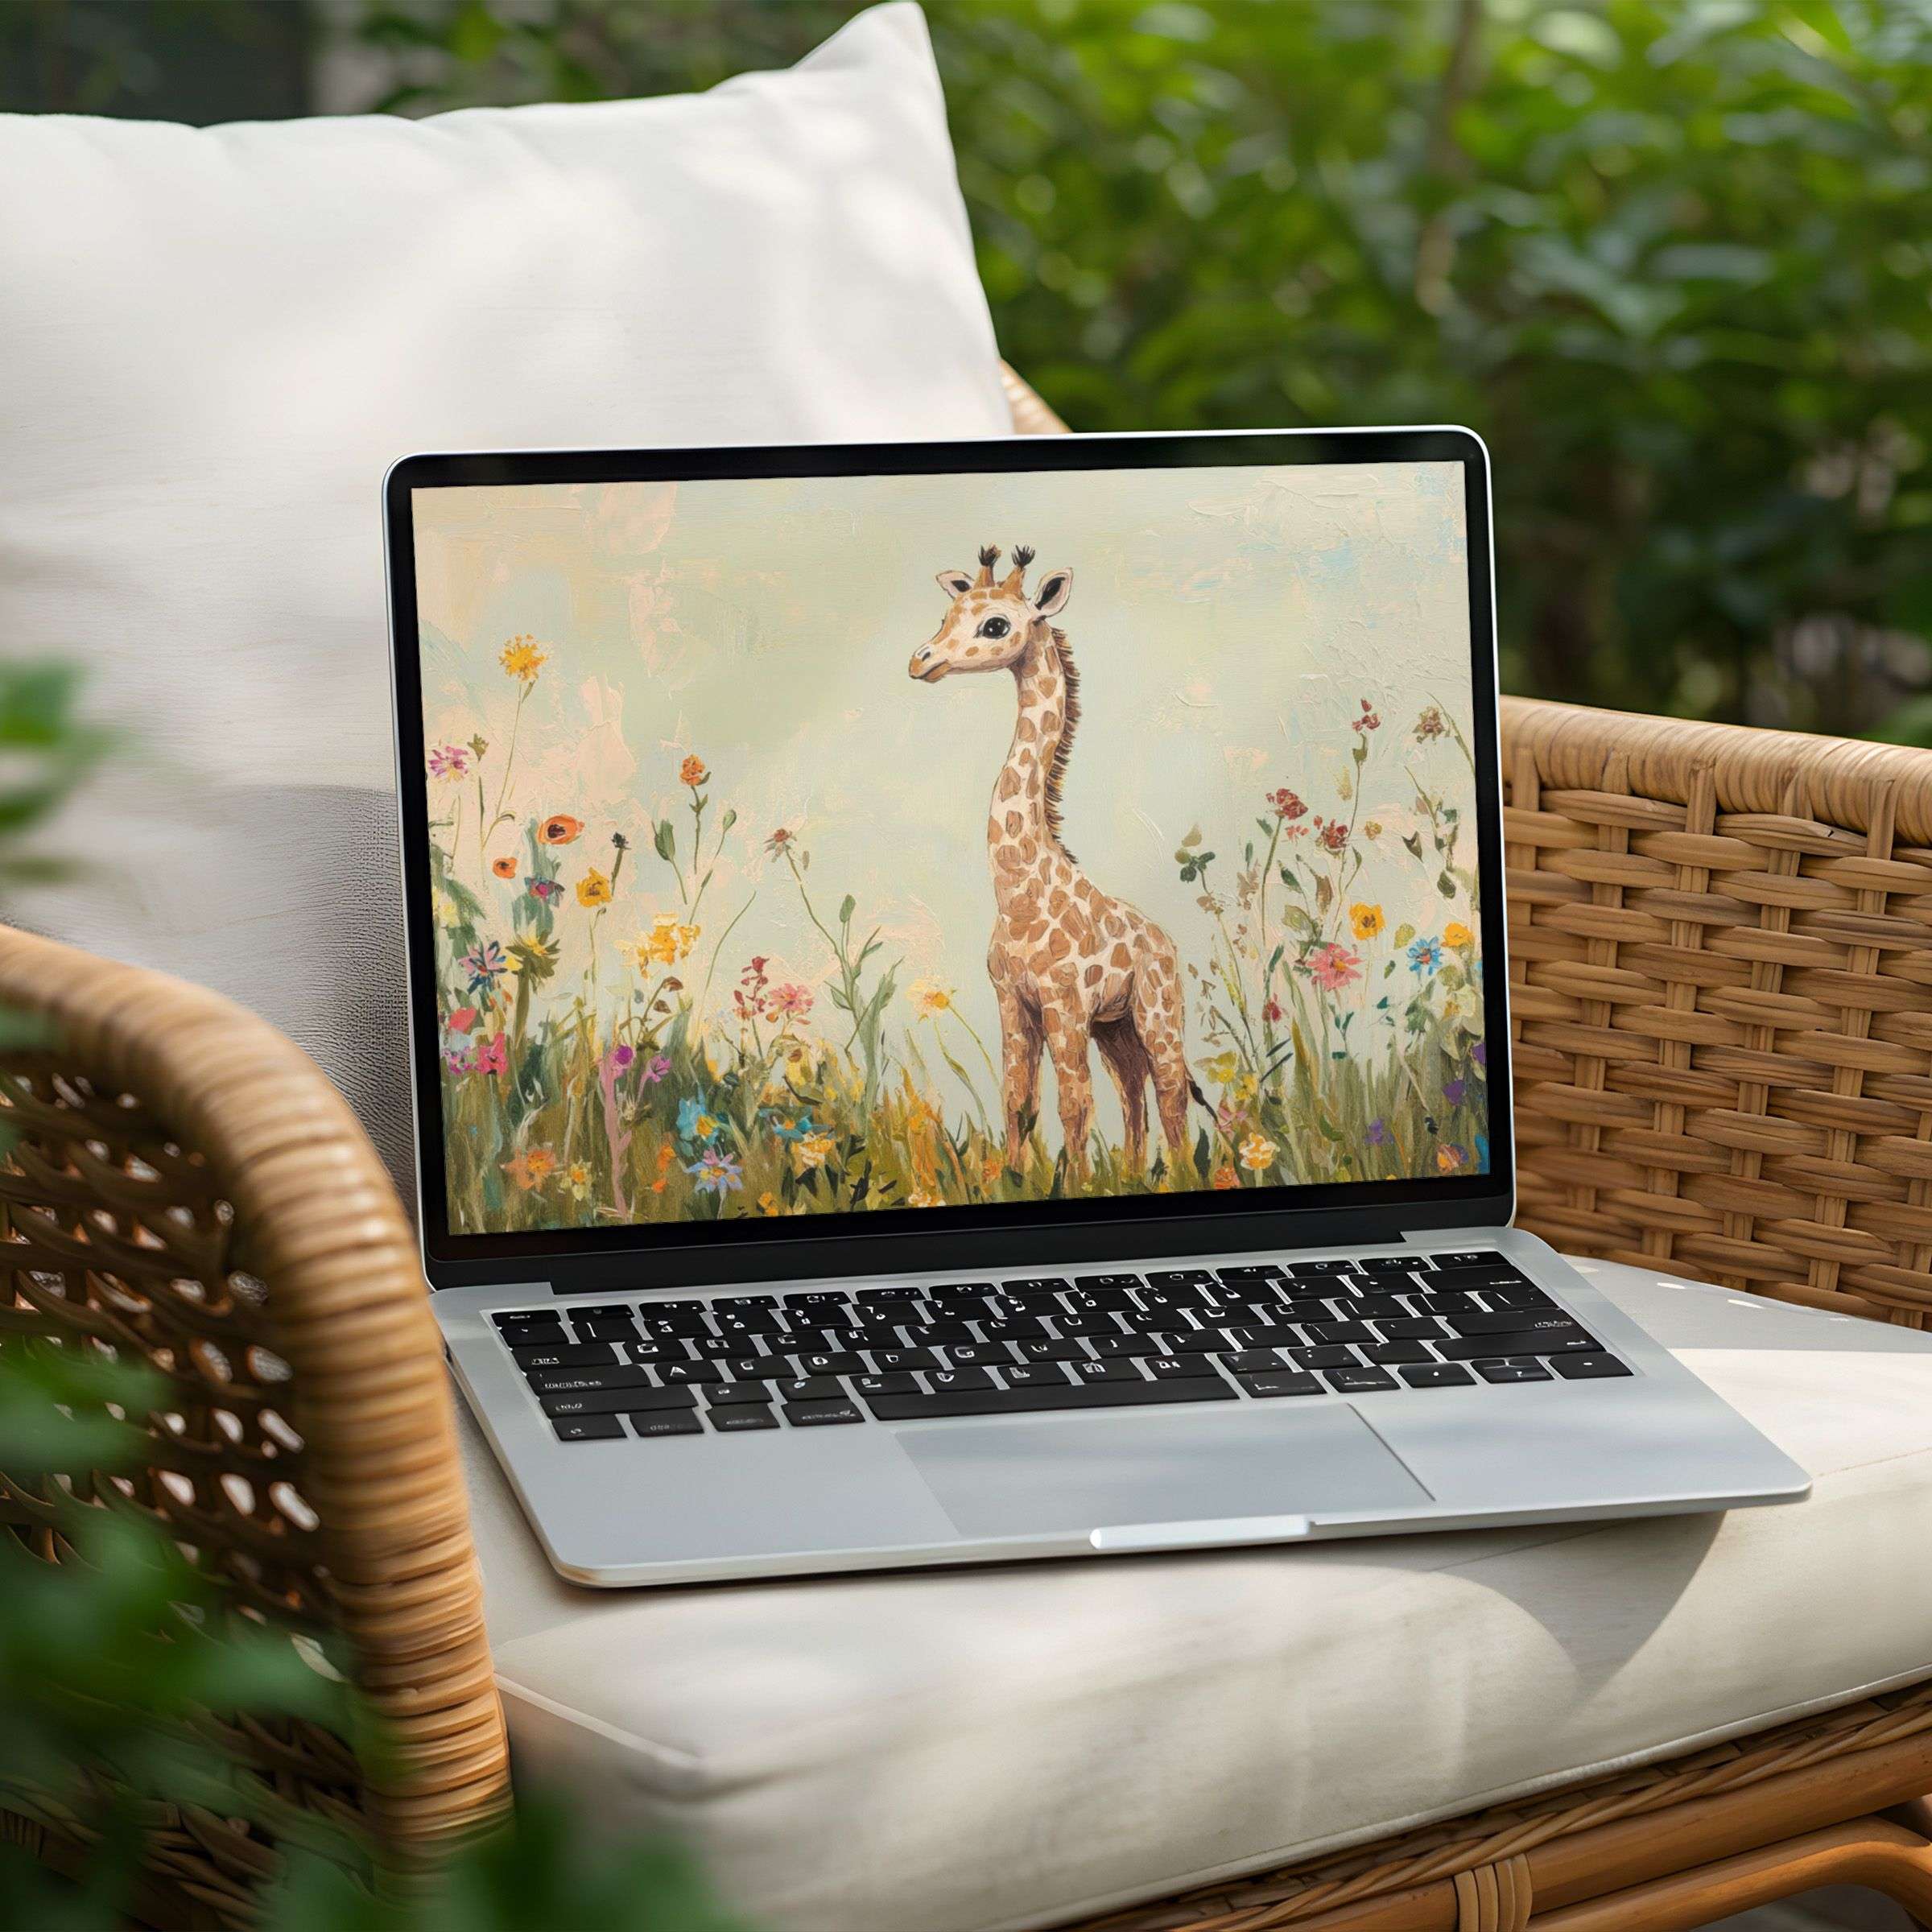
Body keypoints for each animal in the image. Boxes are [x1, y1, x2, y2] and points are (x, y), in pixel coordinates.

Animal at [909, 543, 1204, 1176]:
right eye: (947, 616)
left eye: (995, 625)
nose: (921, 662)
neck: (1018, 891)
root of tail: (1165, 940)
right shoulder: (1013, 1002)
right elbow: (1017, 1097)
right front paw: (1020, 1177)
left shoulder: (1064, 1002)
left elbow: (1073, 1102)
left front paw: (1079, 1183)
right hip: (1116, 1028)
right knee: (1134, 1091)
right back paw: (1134, 1174)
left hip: (1157, 1011)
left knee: (1169, 1092)